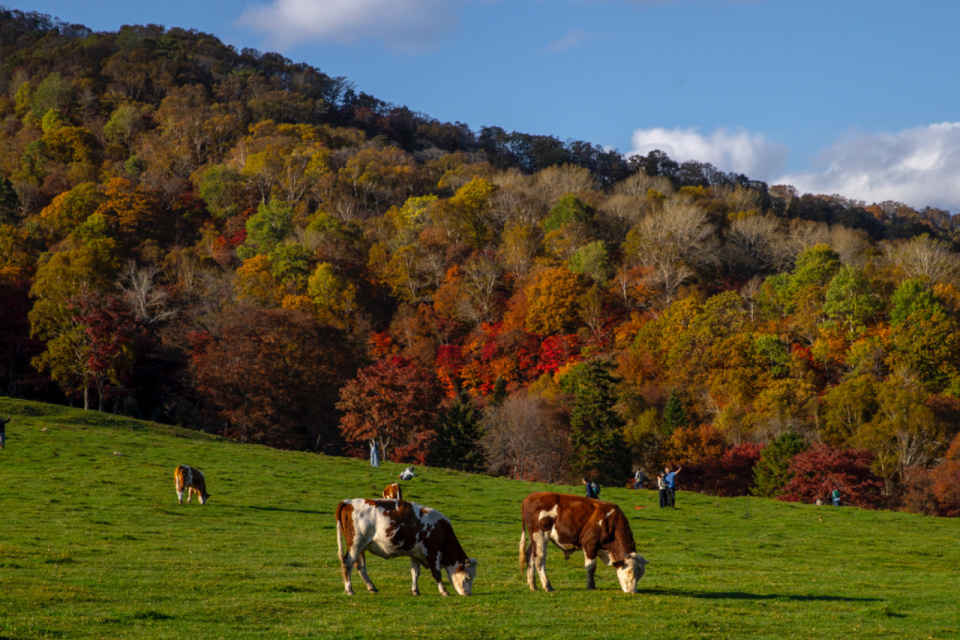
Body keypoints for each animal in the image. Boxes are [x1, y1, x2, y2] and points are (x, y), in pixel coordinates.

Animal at [336, 500, 478, 596]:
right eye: (468, 577)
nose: (468, 593)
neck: (441, 529)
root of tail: (348, 502)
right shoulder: (432, 552)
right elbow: (437, 573)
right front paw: (444, 591)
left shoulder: (415, 553)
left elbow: (415, 572)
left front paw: (415, 590)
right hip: (356, 544)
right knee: (347, 564)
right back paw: (349, 589)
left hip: (361, 547)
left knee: (360, 566)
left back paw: (371, 587)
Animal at [520, 492, 648, 592]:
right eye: (630, 571)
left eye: (640, 574)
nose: (632, 592)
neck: (610, 522)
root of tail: (531, 496)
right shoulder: (590, 544)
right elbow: (591, 567)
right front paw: (591, 586)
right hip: (540, 535)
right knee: (539, 558)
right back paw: (547, 586)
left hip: (533, 538)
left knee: (529, 555)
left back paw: (533, 585)